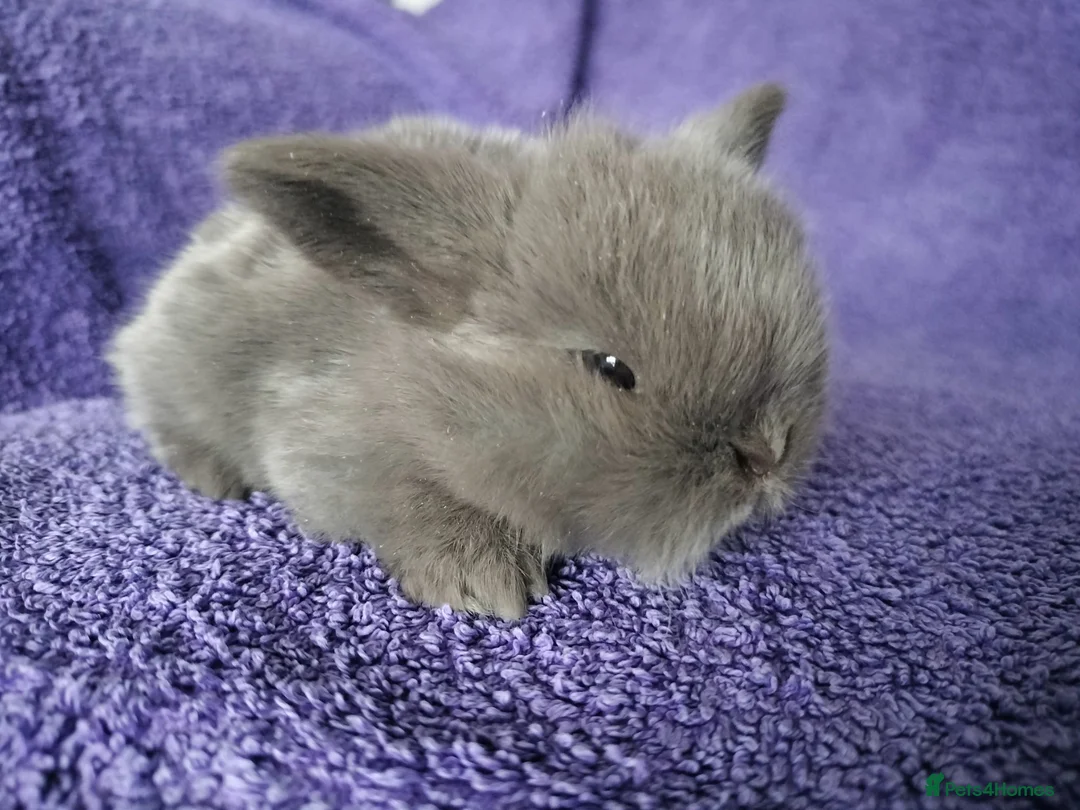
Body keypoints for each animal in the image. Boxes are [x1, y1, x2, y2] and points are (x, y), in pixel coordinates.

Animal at [107, 82, 828, 619]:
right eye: (610, 368)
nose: (767, 455)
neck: (422, 384)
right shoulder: (324, 451)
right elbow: (405, 497)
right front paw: (482, 578)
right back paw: (212, 476)